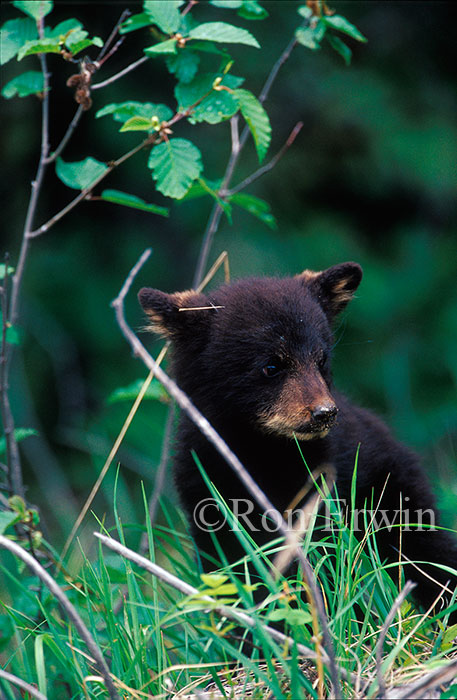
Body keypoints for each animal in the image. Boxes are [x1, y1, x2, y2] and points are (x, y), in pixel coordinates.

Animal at [138, 262, 457, 619]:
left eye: (321, 359)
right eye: (271, 365)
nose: (324, 413)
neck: (263, 452)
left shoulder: (322, 489)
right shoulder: (207, 490)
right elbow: (233, 572)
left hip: (394, 493)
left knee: (428, 552)